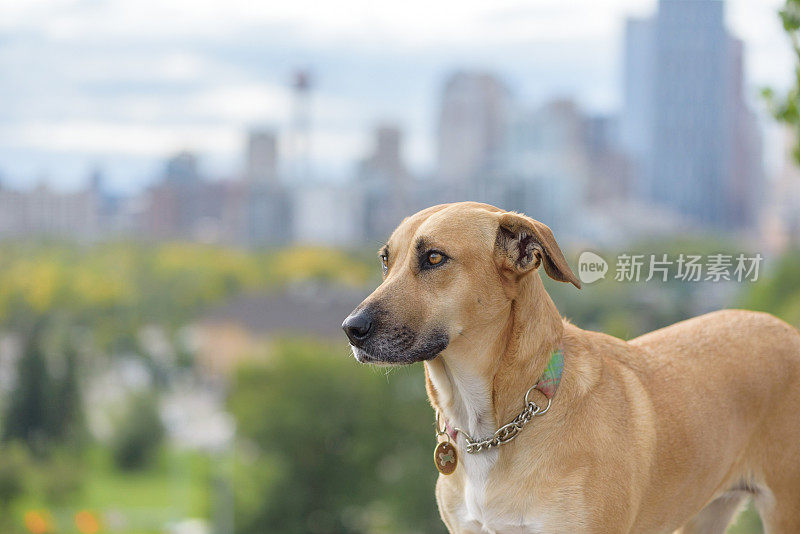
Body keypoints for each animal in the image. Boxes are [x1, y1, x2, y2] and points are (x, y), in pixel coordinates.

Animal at [342, 203, 800, 532]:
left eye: (435, 258)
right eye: (385, 261)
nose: (351, 329)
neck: (496, 423)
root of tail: (785, 328)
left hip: (785, 510)